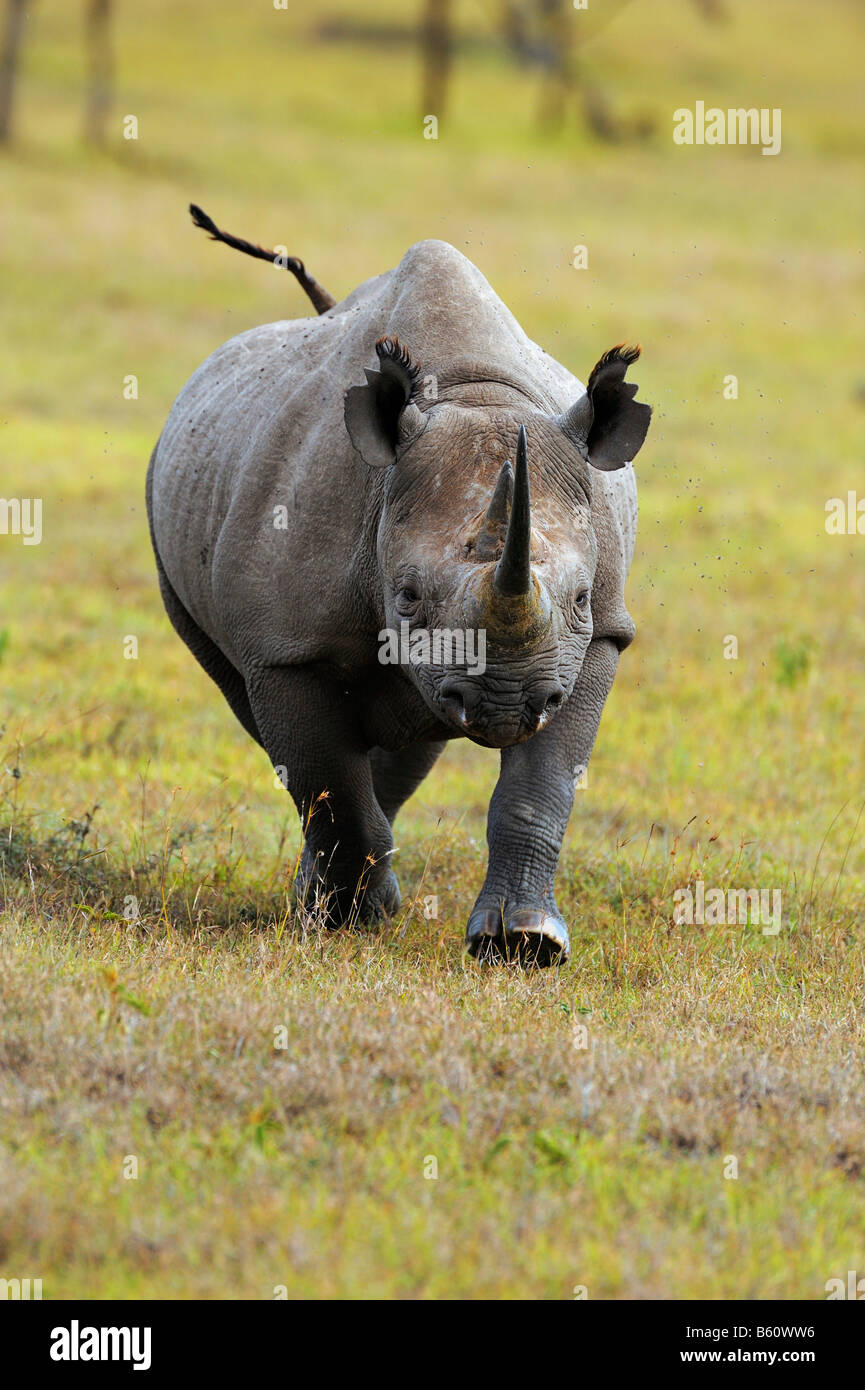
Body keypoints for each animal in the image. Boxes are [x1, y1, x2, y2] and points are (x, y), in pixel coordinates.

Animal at [146, 206, 651, 967]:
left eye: (582, 599)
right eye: (407, 597)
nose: (507, 702)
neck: (471, 393)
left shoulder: (592, 643)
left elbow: (540, 790)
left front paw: (525, 945)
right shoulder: (286, 649)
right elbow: (327, 780)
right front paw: (349, 918)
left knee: (411, 736)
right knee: (258, 712)